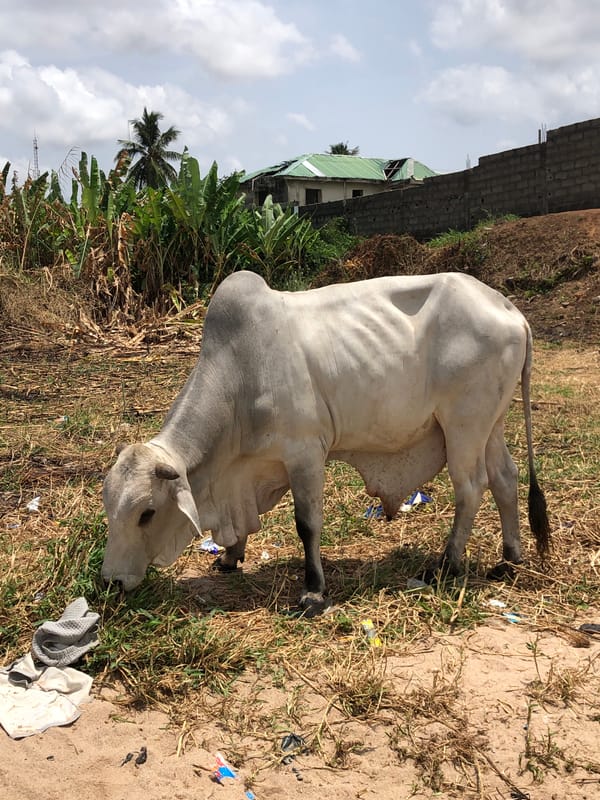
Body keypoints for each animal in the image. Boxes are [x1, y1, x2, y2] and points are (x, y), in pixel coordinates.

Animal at [101, 270, 550, 613]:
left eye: (147, 513)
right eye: (109, 510)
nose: (111, 582)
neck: (240, 379)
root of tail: (507, 307)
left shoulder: (305, 454)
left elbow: (307, 524)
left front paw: (314, 591)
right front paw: (230, 556)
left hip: (463, 425)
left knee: (471, 488)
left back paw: (447, 564)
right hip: (490, 424)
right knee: (505, 479)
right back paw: (509, 559)